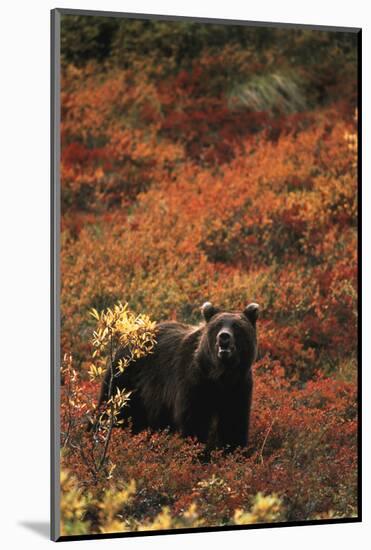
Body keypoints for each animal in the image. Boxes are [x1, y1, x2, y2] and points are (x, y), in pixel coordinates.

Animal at [96, 302, 258, 452]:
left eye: (237, 326)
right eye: (217, 325)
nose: (224, 336)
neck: (220, 374)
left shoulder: (238, 386)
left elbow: (234, 423)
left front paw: (234, 452)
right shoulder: (194, 382)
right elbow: (195, 421)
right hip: (126, 381)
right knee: (113, 411)